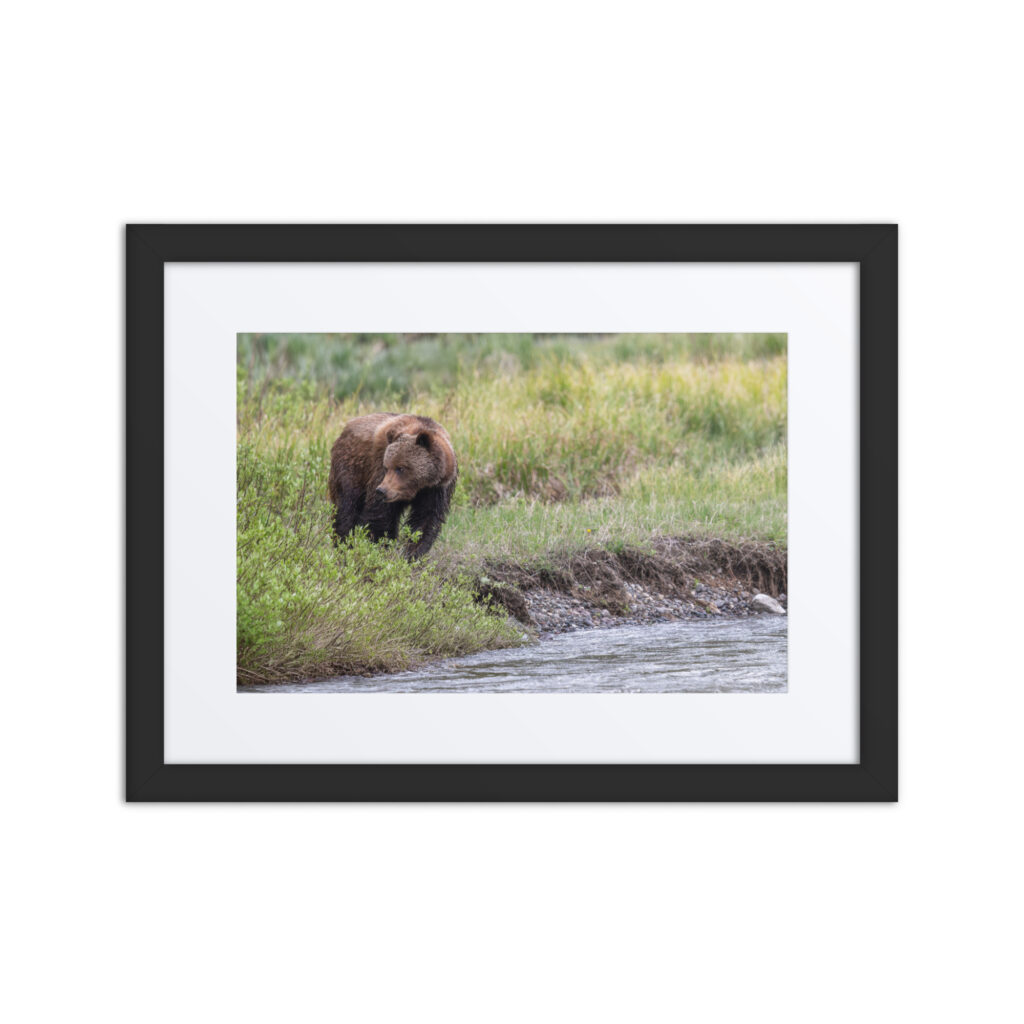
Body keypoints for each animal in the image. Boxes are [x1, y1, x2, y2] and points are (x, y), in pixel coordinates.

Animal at [327, 413, 458, 558]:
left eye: (400, 468)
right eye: (387, 467)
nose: (382, 490)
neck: (418, 487)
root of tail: (346, 428)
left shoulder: (436, 489)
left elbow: (425, 521)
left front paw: (412, 553)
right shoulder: (378, 469)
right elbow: (380, 516)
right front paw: (379, 548)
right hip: (352, 469)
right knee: (347, 508)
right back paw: (343, 545)